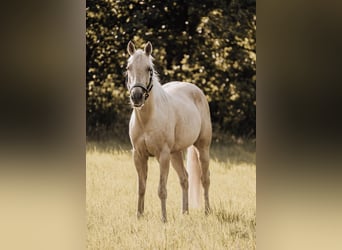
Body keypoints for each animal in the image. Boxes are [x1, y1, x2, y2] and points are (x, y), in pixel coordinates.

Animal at [125, 41, 211, 223]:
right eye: (128, 67)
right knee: (184, 178)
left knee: (205, 179)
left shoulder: (162, 155)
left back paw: (207, 211)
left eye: (149, 69)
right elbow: (141, 187)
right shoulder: (138, 155)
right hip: (175, 153)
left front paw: (163, 219)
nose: (136, 97)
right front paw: (139, 216)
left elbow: (161, 189)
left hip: (202, 147)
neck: (147, 119)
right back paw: (184, 212)